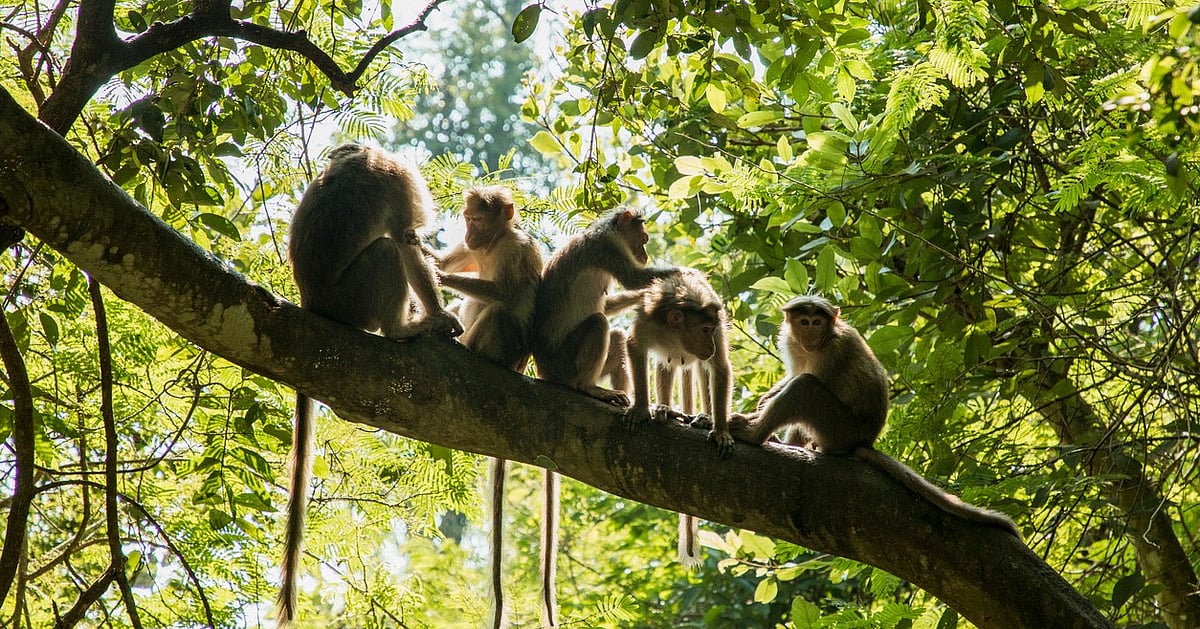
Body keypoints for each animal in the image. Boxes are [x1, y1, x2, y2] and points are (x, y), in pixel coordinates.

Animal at [280, 144, 463, 626]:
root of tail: (311, 303)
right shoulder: (400, 181)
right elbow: (406, 239)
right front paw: (439, 314)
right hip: (354, 300)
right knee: (385, 251)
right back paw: (403, 329)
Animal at [423, 185, 543, 629]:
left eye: (477, 219)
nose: (469, 233)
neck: (495, 242)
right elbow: (451, 261)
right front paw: (425, 252)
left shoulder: (515, 250)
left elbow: (504, 293)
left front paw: (439, 275)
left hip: (503, 350)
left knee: (500, 312)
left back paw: (464, 346)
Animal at [730, 295, 1021, 538]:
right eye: (804, 322)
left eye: (817, 322)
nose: (811, 332)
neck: (822, 340)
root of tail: (865, 441)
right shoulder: (793, 343)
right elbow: (793, 374)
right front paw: (764, 400)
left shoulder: (835, 350)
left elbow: (809, 378)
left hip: (840, 429)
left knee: (806, 388)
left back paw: (755, 435)